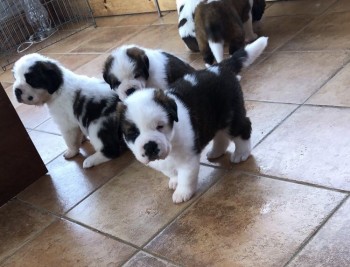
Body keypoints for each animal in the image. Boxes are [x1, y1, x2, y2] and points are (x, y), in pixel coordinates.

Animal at [117, 35, 268, 203]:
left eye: (160, 126)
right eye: (133, 133)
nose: (150, 146)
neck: (172, 140)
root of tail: (220, 67)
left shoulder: (187, 157)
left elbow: (186, 176)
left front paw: (182, 193)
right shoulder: (165, 163)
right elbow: (171, 172)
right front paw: (174, 181)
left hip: (230, 115)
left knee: (243, 128)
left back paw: (241, 153)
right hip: (214, 117)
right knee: (221, 136)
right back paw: (216, 152)